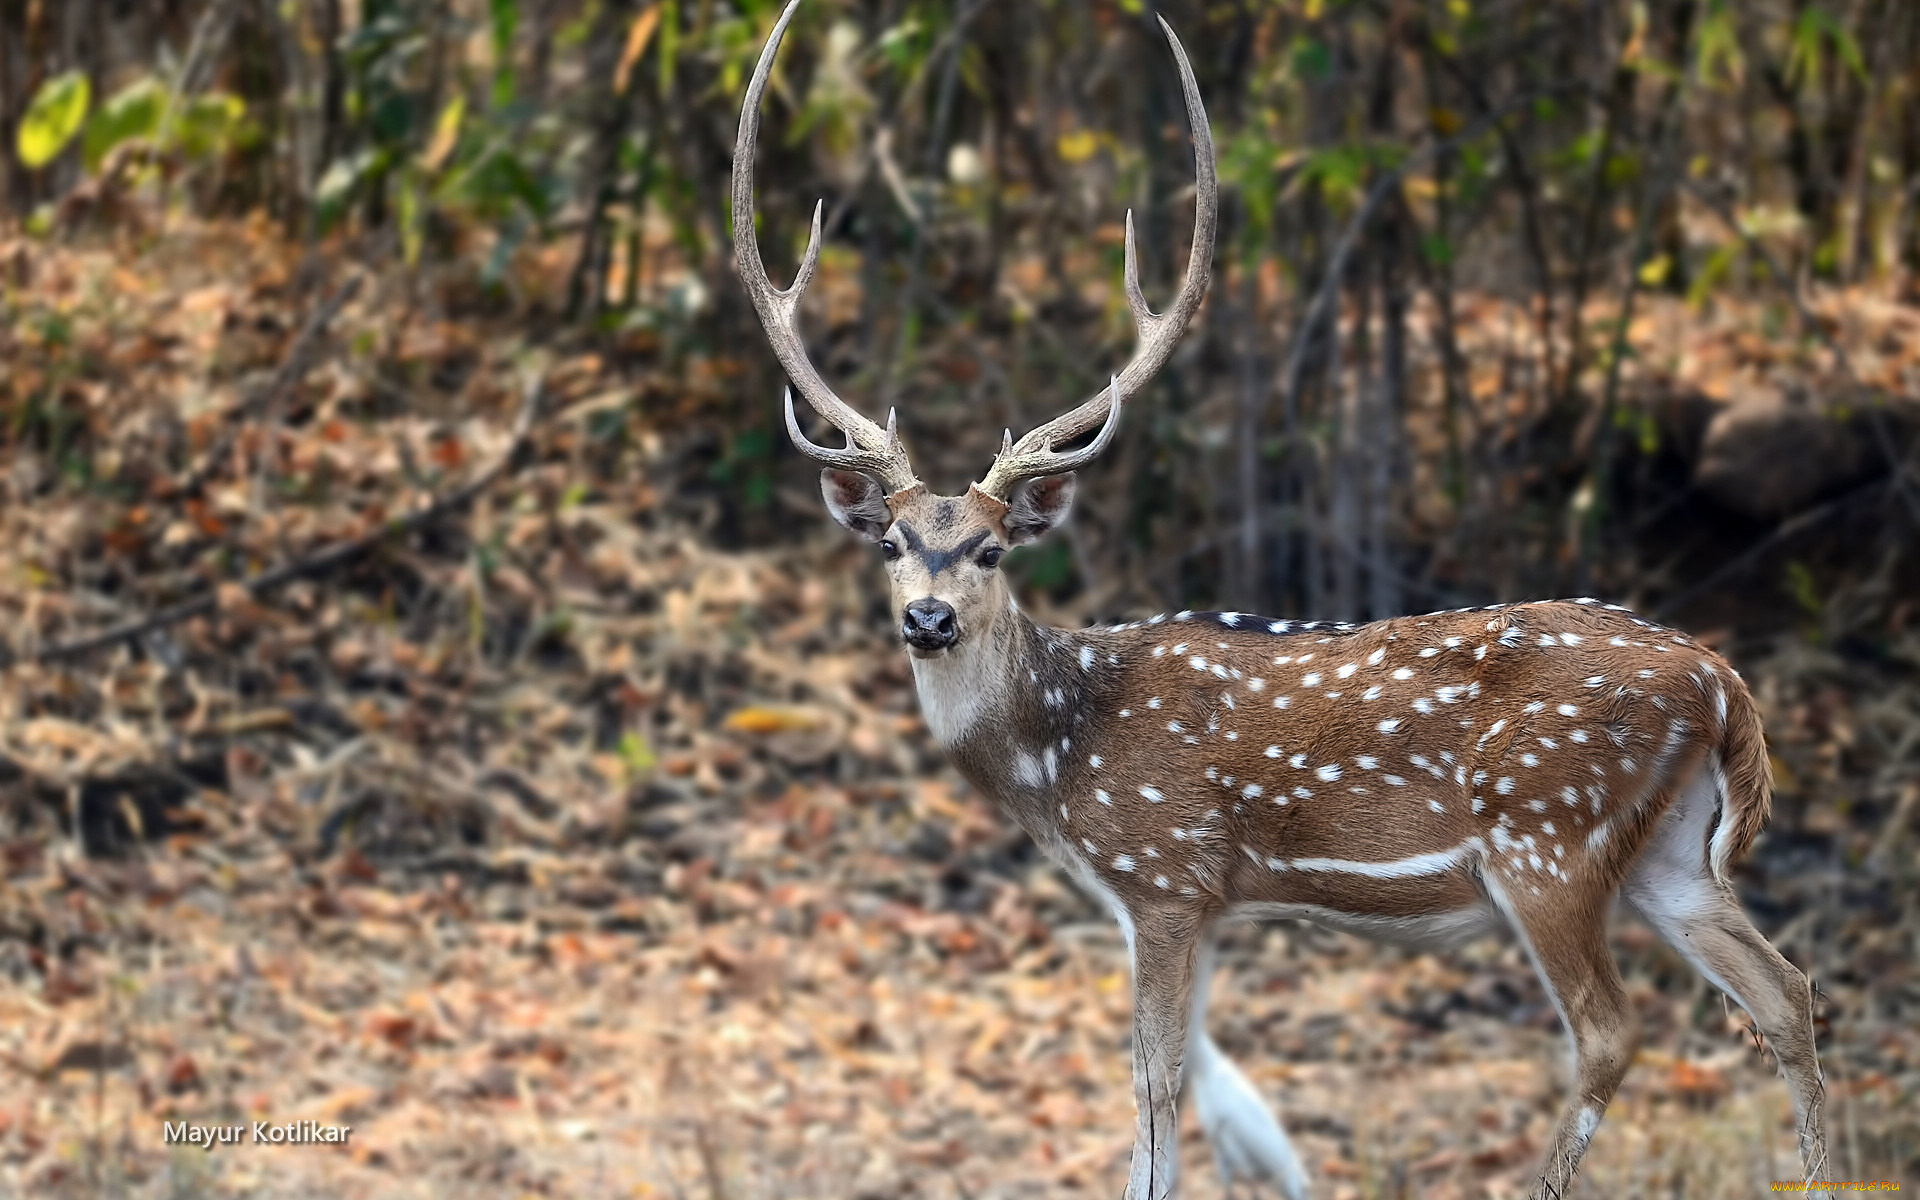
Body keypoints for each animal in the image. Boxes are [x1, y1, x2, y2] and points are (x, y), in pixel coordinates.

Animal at [733, 4, 1827, 1190]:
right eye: (892, 541)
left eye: (987, 551)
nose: (925, 619)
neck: (1058, 759)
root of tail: (1722, 683)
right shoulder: (1183, 899)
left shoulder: (1166, 873)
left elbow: (1155, 1086)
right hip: (1669, 850)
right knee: (1788, 994)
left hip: (1550, 836)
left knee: (1612, 1029)